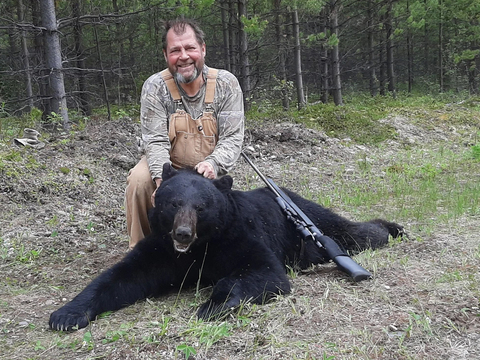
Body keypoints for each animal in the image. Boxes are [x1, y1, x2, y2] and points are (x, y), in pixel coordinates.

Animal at [48, 164, 404, 332]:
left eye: (201, 206)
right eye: (174, 203)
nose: (183, 233)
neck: (198, 248)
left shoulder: (238, 237)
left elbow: (262, 271)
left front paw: (213, 304)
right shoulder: (161, 251)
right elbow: (122, 277)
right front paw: (66, 314)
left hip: (306, 221)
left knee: (347, 232)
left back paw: (391, 229)